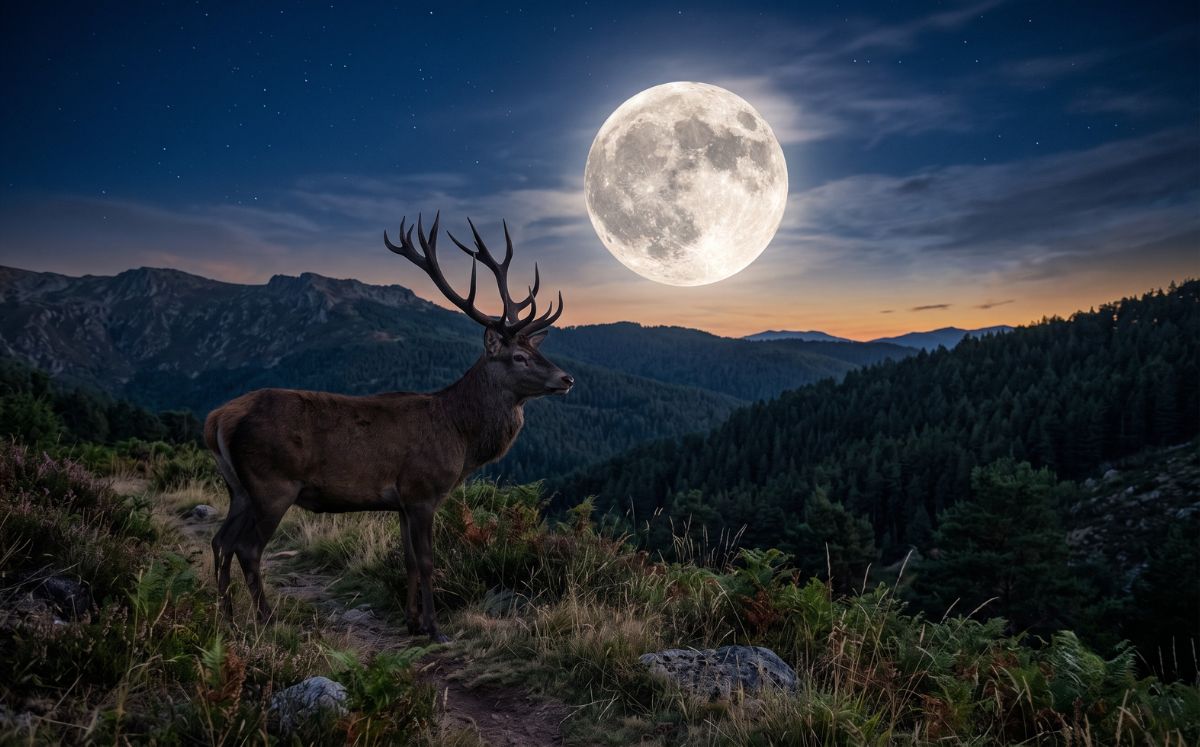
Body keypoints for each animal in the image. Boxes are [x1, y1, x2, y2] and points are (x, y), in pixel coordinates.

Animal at [203, 213, 573, 642]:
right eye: (518, 357)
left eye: (536, 350)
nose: (567, 379)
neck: (460, 436)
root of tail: (217, 419)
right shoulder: (422, 490)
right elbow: (427, 560)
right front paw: (435, 628)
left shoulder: (399, 502)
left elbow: (408, 560)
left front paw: (412, 621)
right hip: (272, 484)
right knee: (247, 548)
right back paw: (266, 620)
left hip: (238, 488)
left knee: (220, 541)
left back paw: (228, 620)